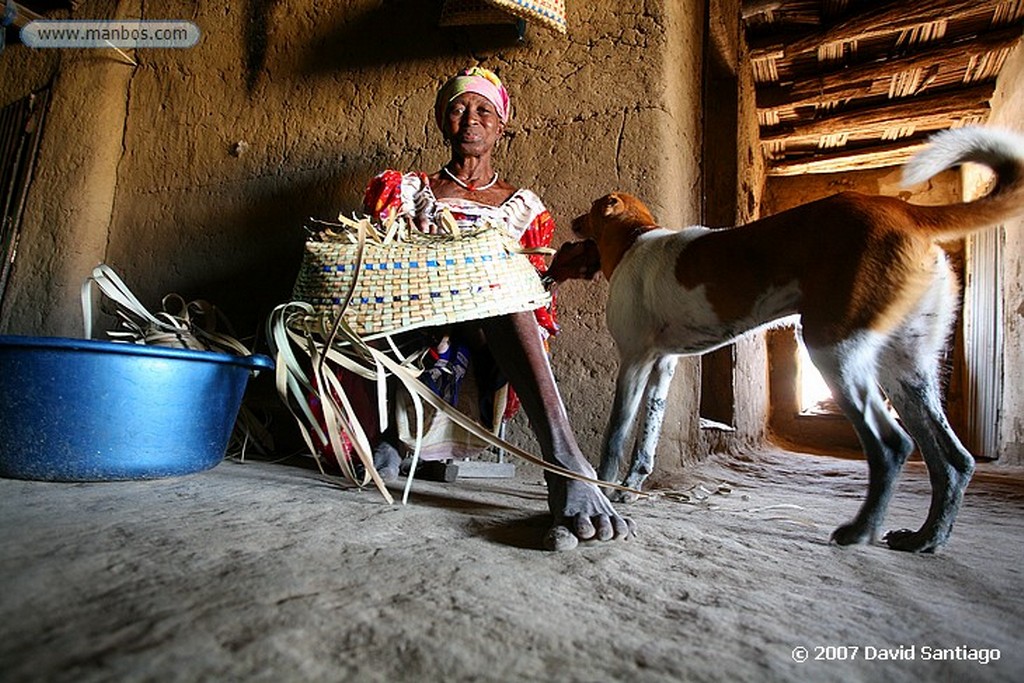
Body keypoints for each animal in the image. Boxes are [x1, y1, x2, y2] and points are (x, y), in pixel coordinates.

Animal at [573, 127, 1024, 552]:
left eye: (589, 211)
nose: (572, 222)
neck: (635, 239)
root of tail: (904, 210)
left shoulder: (634, 360)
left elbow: (615, 438)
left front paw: (605, 490)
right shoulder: (662, 366)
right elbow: (646, 440)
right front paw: (631, 487)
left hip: (833, 350)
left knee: (892, 445)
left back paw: (861, 530)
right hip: (906, 369)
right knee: (954, 460)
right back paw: (926, 538)